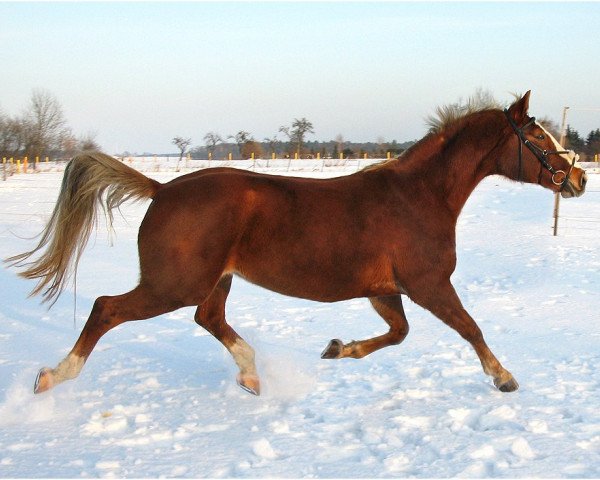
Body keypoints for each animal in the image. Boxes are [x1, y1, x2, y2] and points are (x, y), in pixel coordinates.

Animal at [7, 89, 588, 394]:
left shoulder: (386, 290)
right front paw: (504, 377)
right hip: (173, 283)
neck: (419, 196)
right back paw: (52, 377)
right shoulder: (428, 284)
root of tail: (164, 187)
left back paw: (250, 375)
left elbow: (398, 334)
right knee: (107, 308)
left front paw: (338, 348)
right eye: (537, 137)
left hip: (215, 281)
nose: (579, 178)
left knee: (208, 319)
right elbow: (470, 327)